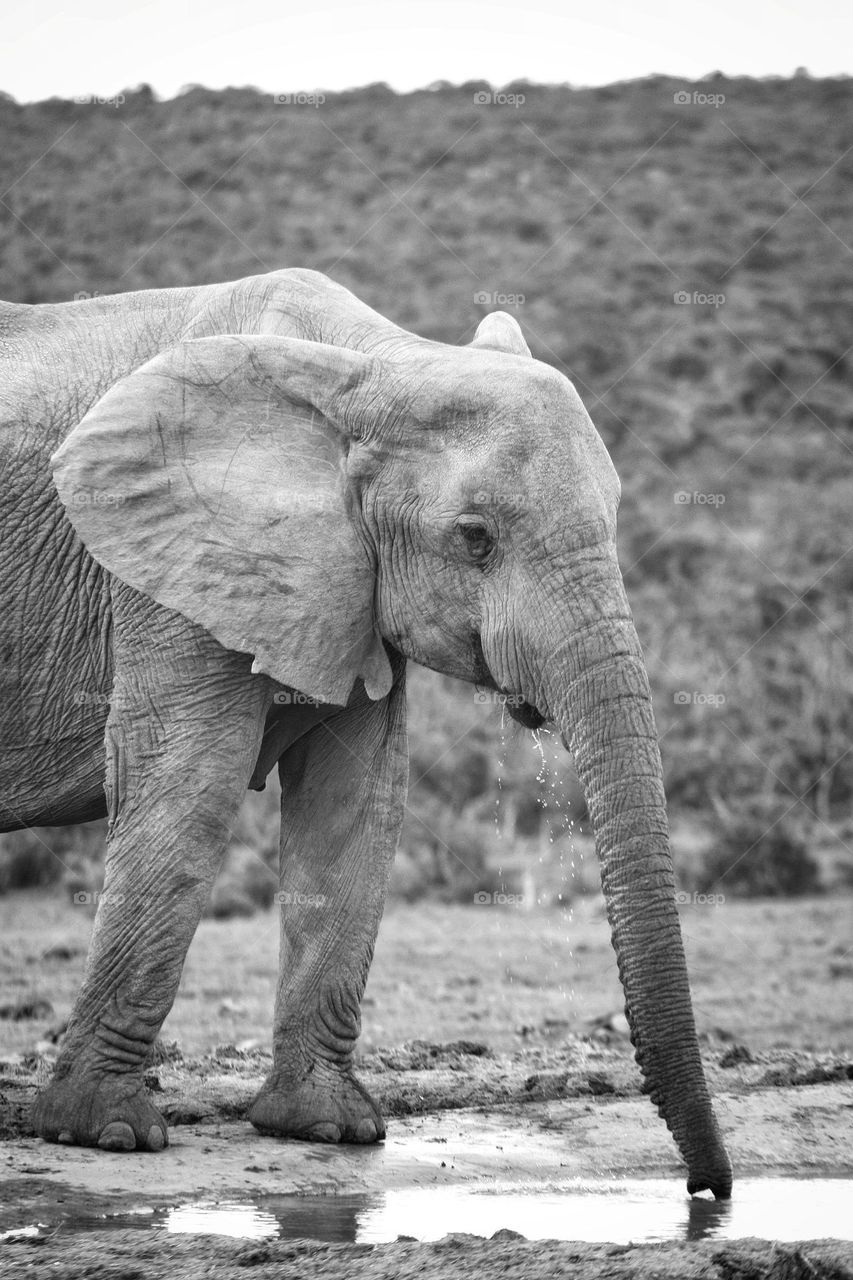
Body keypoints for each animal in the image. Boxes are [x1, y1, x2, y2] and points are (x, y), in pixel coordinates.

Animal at [0, 268, 732, 1198]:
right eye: (475, 539)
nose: (706, 1191)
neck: (375, 366)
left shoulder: (347, 581)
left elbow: (355, 807)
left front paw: (327, 1127)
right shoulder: (170, 565)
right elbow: (187, 790)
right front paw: (104, 1134)